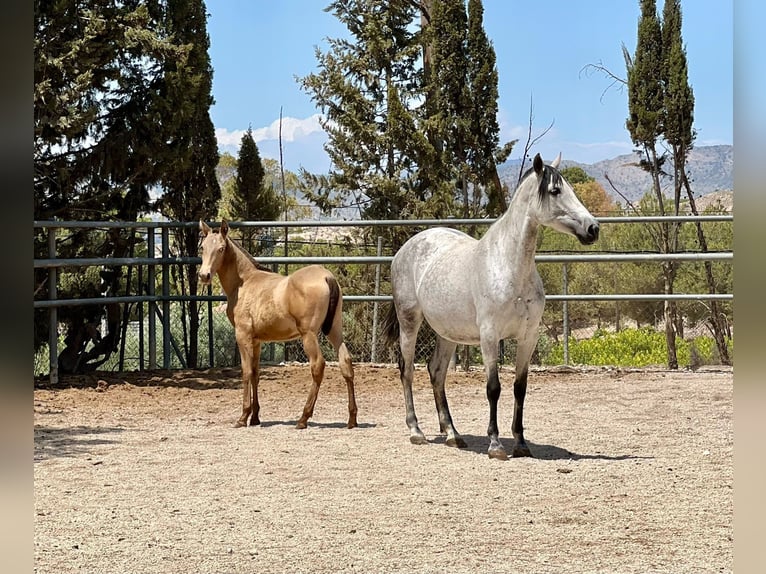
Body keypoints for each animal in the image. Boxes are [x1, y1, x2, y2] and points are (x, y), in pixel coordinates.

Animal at [382, 153, 600, 460]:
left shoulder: (528, 337)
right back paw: (416, 431)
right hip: (409, 322)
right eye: (555, 190)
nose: (593, 228)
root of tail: (406, 248)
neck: (509, 267)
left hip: (447, 333)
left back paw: (453, 435)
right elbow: (493, 388)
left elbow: (520, 388)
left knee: (436, 372)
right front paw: (495, 445)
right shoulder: (489, 337)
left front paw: (521, 443)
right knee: (407, 370)